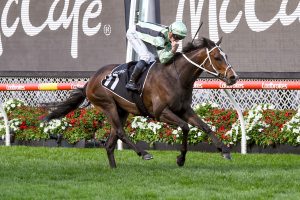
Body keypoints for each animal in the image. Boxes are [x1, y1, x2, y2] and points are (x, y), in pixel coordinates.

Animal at [45, 37, 239, 167]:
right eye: (217, 57)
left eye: (227, 55)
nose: (233, 77)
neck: (176, 76)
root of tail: (90, 81)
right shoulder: (161, 112)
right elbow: (185, 127)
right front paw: (181, 158)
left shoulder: (184, 109)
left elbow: (205, 126)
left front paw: (225, 150)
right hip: (108, 105)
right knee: (120, 132)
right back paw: (143, 153)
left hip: (121, 110)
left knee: (110, 143)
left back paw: (114, 169)